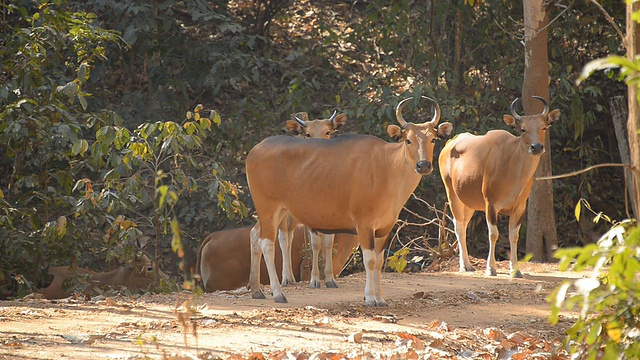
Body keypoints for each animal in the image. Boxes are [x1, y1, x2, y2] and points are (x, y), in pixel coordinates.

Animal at [248, 96, 452, 304]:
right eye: (408, 140)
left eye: (433, 139)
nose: (423, 165)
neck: (387, 168)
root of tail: (255, 150)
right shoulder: (363, 224)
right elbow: (369, 260)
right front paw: (370, 298)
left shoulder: (384, 228)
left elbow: (379, 261)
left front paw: (380, 299)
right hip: (268, 206)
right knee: (267, 243)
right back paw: (278, 292)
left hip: (278, 210)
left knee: (255, 234)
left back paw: (257, 290)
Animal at [440, 96, 560, 278]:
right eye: (522, 129)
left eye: (544, 127)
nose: (537, 147)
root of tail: (449, 144)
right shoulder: (491, 205)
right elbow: (493, 234)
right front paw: (491, 268)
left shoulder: (520, 207)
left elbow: (514, 236)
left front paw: (515, 269)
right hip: (452, 195)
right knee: (458, 226)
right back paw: (464, 265)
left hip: (469, 202)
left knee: (464, 225)